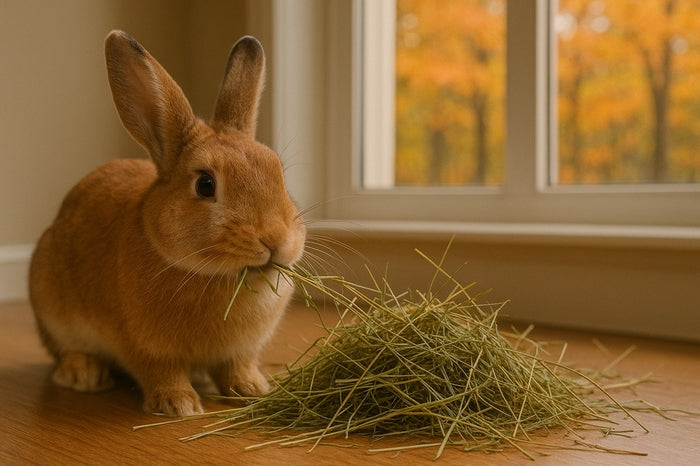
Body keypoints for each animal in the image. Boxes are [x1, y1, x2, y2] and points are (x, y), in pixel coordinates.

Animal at [28, 30, 306, 417]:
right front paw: (179, 405)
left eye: (278, 171)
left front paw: (253, 390)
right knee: (64, 352)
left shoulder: (240, 352)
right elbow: (162, 371)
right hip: (52, 307)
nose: (276, 239)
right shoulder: (145, 347)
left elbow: (237, 367)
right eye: (205, 184)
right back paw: (83, 374)